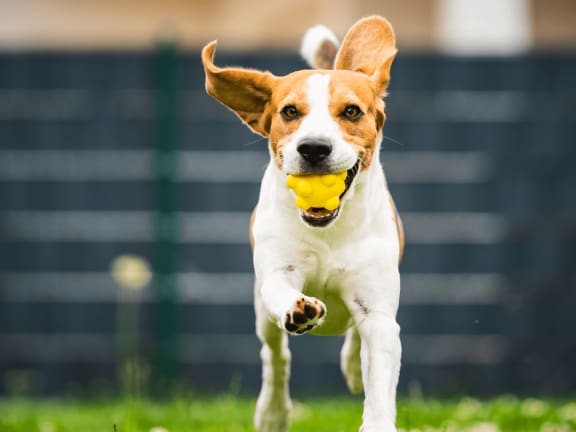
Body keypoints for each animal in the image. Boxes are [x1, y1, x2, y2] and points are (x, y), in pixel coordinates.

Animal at [202, 16, 404, 432]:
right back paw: (273, 411)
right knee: (275, 355)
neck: (328, 231)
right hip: (261, 315)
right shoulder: (277, 272)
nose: (313, 147)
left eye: (351, 112)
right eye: (290, 112)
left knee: (357, 344)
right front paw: (300, 309)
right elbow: (283, 295)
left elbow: (379, 369)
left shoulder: (377, 311)